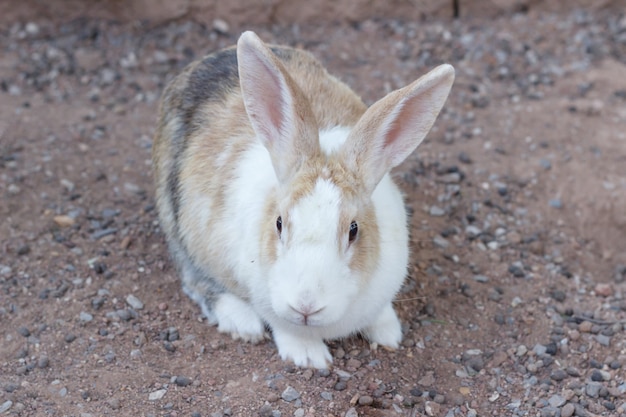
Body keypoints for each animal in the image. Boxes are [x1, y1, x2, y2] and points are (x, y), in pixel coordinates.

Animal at [151, 30, 454, 368]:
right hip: (176, 219)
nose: (306, 306)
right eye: (279, 223)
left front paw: (389, 334)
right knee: (194, 277)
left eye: (354, 230)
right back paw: (242, 322)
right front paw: (310, 357)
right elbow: (287, 328)